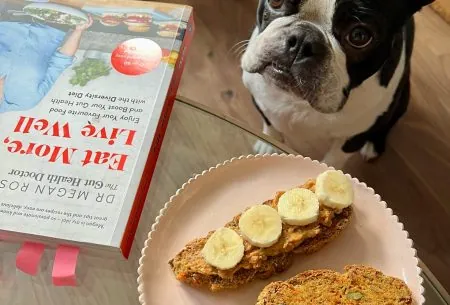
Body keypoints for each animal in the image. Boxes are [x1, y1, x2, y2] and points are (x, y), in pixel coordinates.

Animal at [241, 0, 434, 167]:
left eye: (359, 36)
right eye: (275, 1)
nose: (302, 39)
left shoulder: (354, 137)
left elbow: (333, 161)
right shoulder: (260, 100)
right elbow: (270, 125)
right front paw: (268, 146)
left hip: (402, 98)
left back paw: (373, 145)